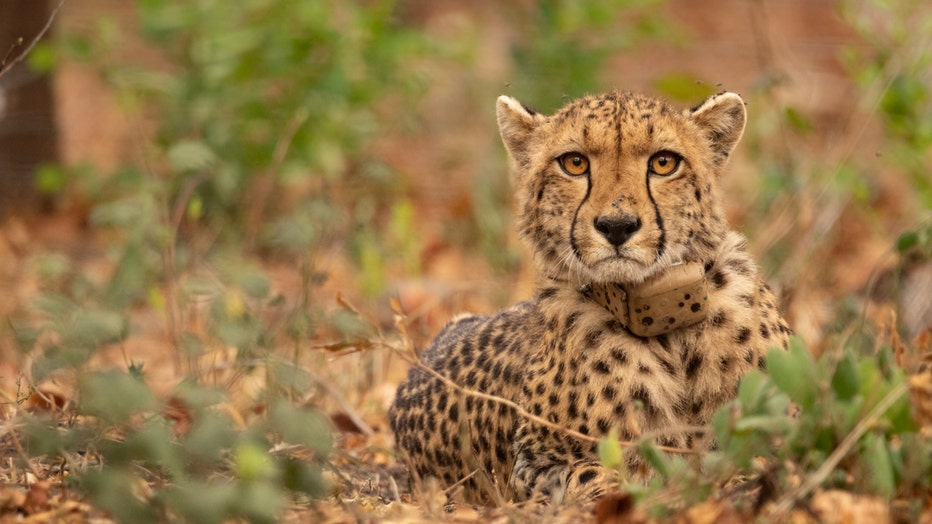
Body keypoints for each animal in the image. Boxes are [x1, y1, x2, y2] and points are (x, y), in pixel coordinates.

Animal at [390, 90, 792, 504]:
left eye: (664, 162)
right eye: (575, 163)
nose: (617, 226)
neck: (666, 323)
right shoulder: (530, 465)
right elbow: (593, 474)